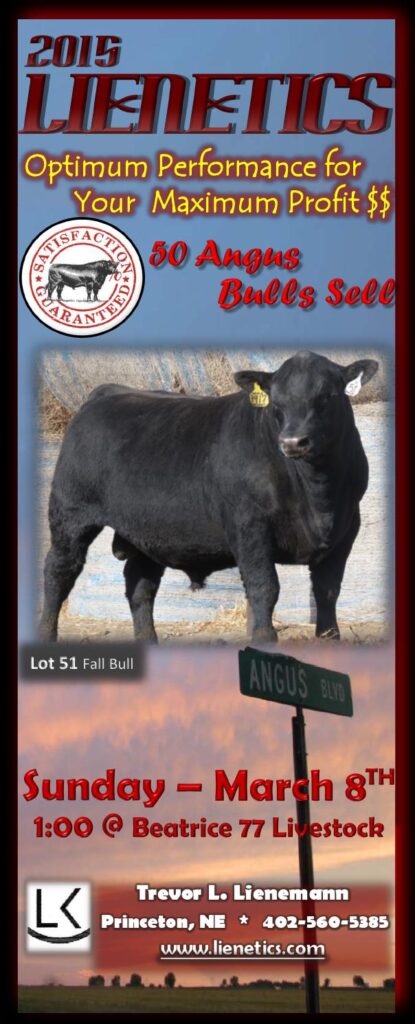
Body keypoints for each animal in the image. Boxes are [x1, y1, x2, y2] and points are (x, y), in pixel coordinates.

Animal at [40, 351, 378, 644]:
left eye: (327, 396)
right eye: (276, 402)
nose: (293, 442)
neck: (318, 495)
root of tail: (108, 391)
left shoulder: (347, 528)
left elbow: (327, 590)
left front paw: (329, 638)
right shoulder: (249, 527)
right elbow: (264, 587)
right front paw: (264, 638)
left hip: (147, 531)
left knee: (140, 586)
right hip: (71, 513)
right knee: (59, 571)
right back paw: (47, 635)